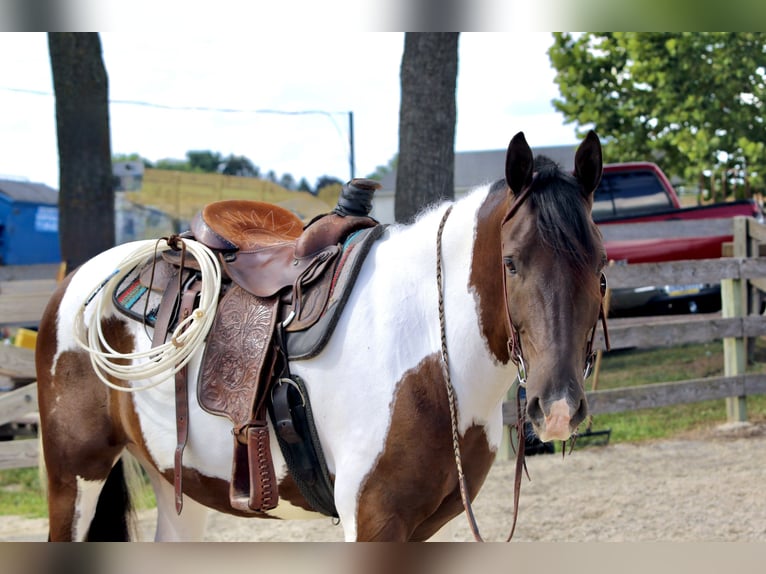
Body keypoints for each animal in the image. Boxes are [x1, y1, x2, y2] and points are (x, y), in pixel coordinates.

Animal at [35, 130, 608, 542]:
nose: (557, 407)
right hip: (73, 478)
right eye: (510, 263)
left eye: (601, 265)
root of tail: (76, 282)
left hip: (182, 488)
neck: (424, 347)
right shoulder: (374, 520)